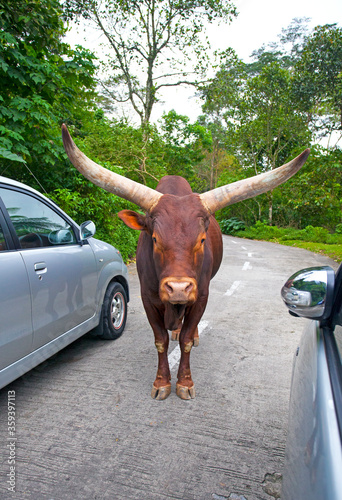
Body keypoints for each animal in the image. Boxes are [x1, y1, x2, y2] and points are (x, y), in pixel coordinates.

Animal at [61, 125, 310, 402]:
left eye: (201, 240)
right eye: (155, 239)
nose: (178, 289)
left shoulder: (200, 296)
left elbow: (187, 340)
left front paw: (185, 382)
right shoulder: (148, 297)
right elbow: (160, 340)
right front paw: (162, 382)